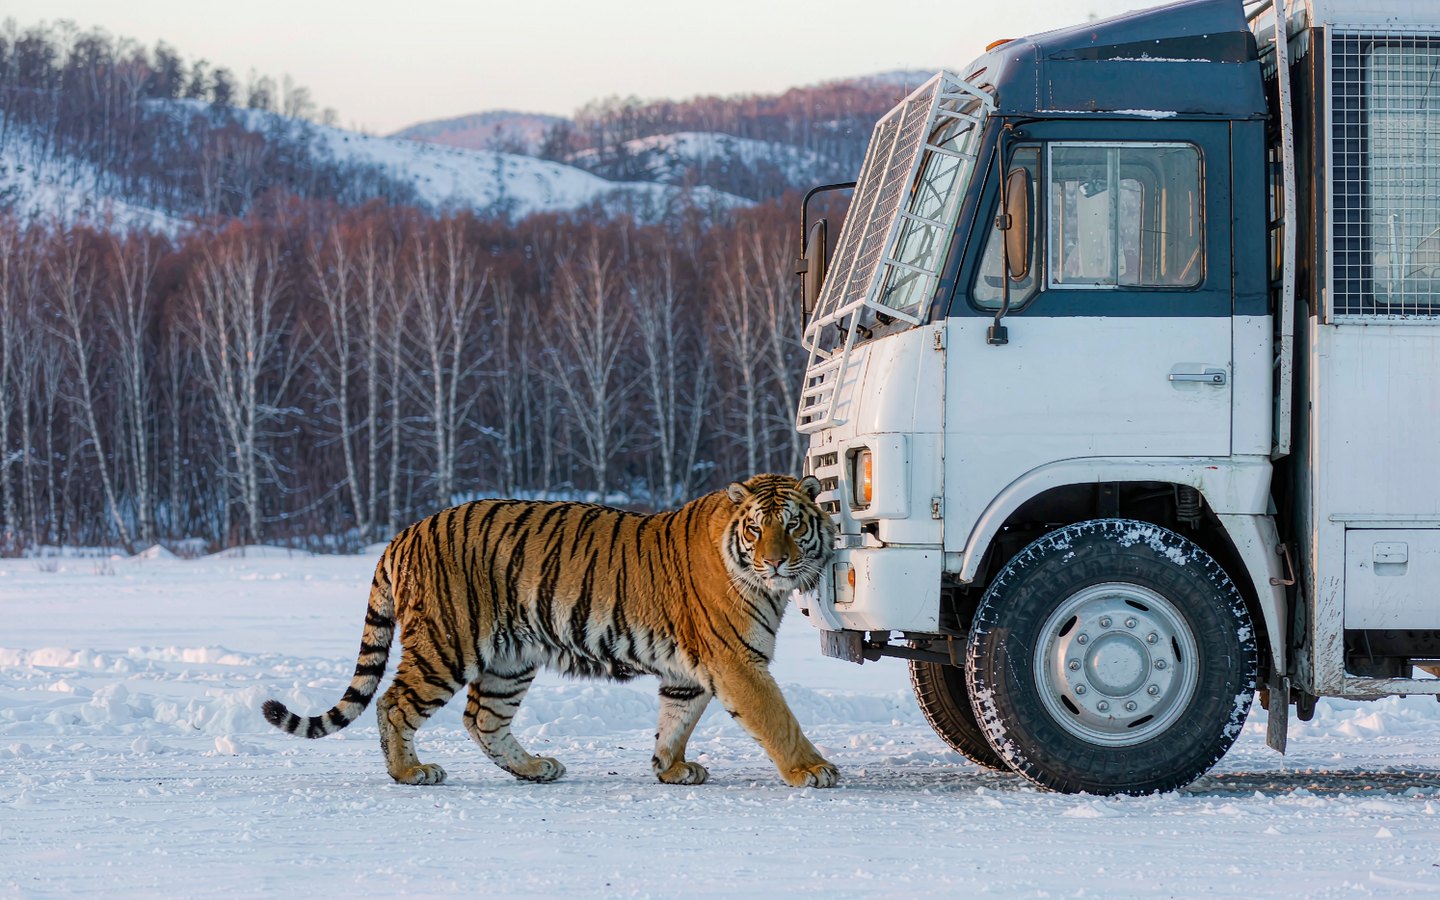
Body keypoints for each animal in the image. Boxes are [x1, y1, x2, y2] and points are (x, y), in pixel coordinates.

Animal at [261, 473, 839, 789]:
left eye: (792, 524)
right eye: (756, 528)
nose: (775, 562)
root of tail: (404, 532)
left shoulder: (691, 671)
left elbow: (675, 719)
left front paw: (670, 769)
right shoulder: (737, 662)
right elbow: (778, 719)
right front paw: (812, 770)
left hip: (509, 660)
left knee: (482, 718)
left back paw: (535, 768)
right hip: (447, 645)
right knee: (393, 703)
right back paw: (411, 772)